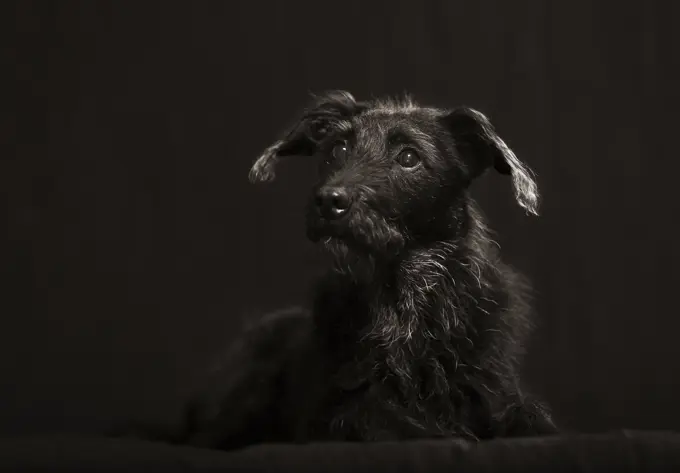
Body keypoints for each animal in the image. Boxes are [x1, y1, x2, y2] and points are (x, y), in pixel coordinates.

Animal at [173, 90, 556, 448]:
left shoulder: (495, 396)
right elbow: (395, 425)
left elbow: (530, 421)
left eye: (409, 157)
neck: (405, 298)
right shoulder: (349, 413)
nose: (328, 201)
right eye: (339, 148)